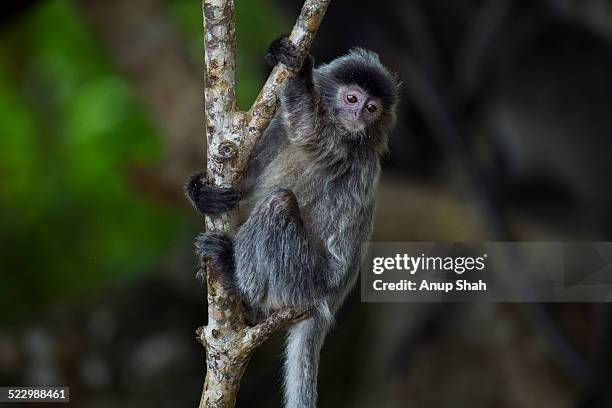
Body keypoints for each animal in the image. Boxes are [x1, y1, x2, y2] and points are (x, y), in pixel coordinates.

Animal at [184, 37, 400, 408]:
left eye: (372, 108)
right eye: (352, 99)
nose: (359, 116)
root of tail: (325, 304)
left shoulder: (343, 150)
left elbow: (307, 129)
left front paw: (296, 68)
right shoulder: (277, 131)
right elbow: (246, 177)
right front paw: (201, 194)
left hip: (301, 278)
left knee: (279, 203)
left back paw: (233, 274)